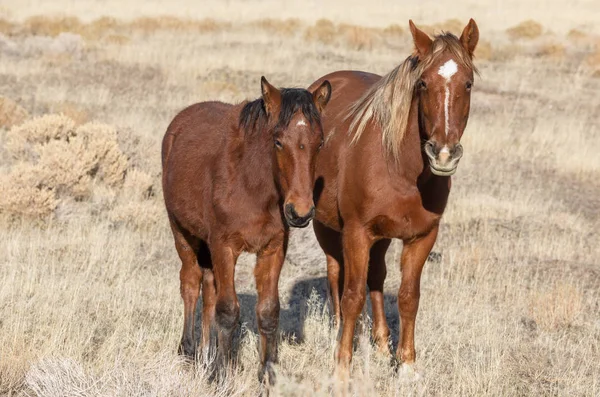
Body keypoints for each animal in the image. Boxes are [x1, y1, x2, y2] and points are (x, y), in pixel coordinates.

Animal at [162, 76, 330, 382]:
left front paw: (268, 373)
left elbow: (268, 311)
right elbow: (228, 309)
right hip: (182, 232)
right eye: (278, 141)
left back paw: (207, 351)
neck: (252, 186)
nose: (300, 212)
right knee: (191, 284)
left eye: (320, 142)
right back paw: (189, 351)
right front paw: (220, 375)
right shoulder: (224, 246)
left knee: (209, 288)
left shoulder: (273, 249)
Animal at [310, 18, 478, 370]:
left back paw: (378, 342)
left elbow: (408, 297)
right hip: (326, 227)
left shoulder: (421, 237)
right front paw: (342, 364)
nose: (443, 154)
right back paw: (339, 332)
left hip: (383, 236)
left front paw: (407, 365)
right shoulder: (356, 233)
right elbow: (352, 295)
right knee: (336, 274)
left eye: (468, 84)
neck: (401, 169)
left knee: (376, 277)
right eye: (423, 84)